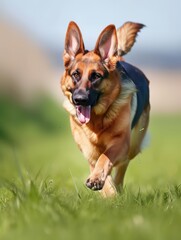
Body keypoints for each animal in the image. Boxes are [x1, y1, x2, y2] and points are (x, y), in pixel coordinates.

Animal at [60, 21, 150, 197]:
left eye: (96, 76)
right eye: (75, 75)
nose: (80, 99)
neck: (97, 120)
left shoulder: (120, 142)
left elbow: (105, 158)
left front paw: (100, 182)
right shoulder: (89, 151)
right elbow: (99, 162)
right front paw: (106, 189)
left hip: (133, 145)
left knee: (122, 166)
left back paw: (118, 189)